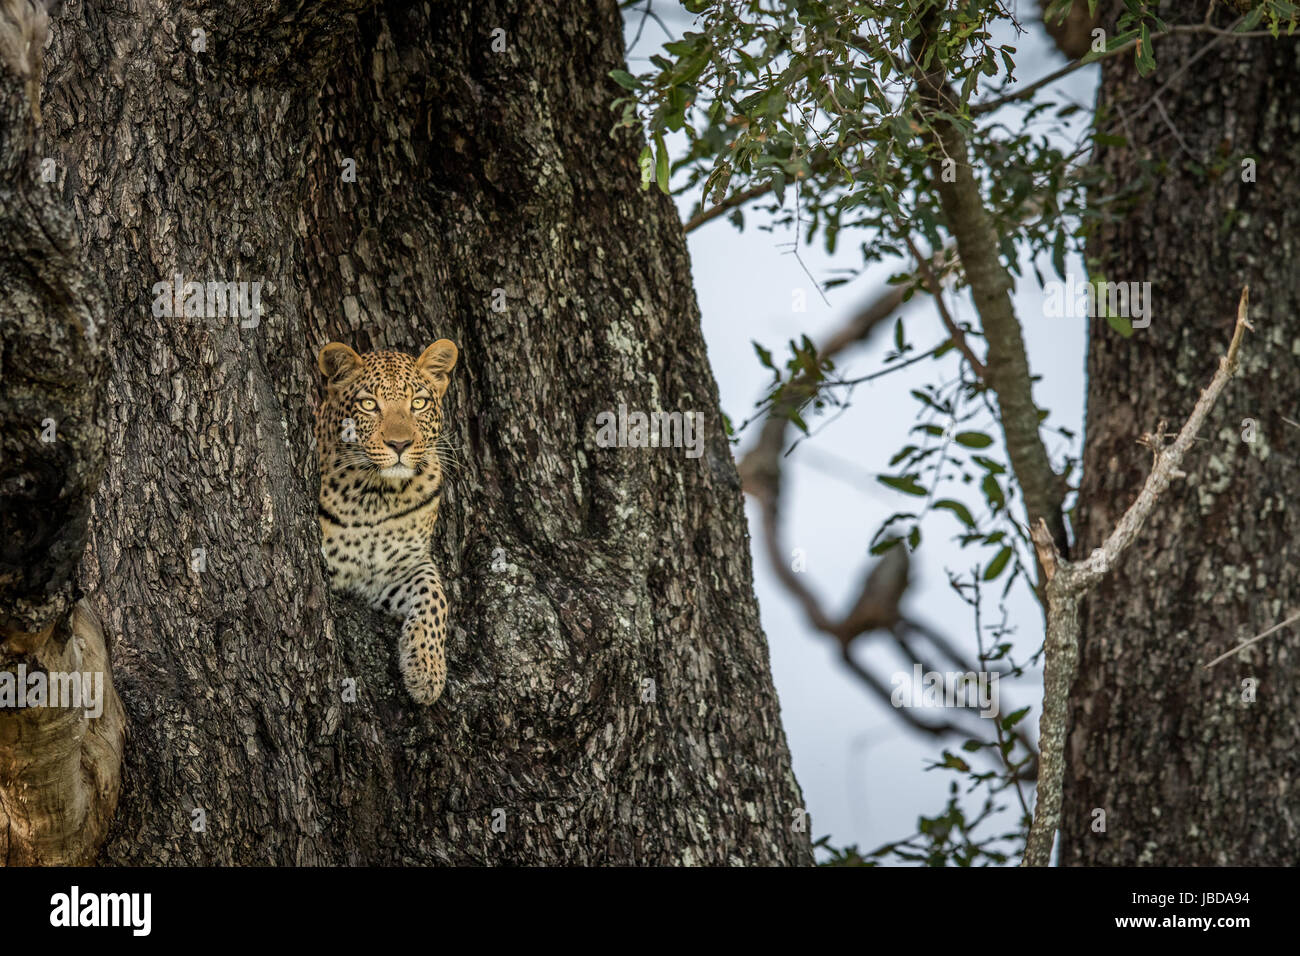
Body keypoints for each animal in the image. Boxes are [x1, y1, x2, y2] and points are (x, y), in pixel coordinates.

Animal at [314, 339, 459, 705]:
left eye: (418, 403)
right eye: (369, 404)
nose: (399, 444)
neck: (377, 496)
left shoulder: (398, 568)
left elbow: (436, 597)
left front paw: (426, 671)